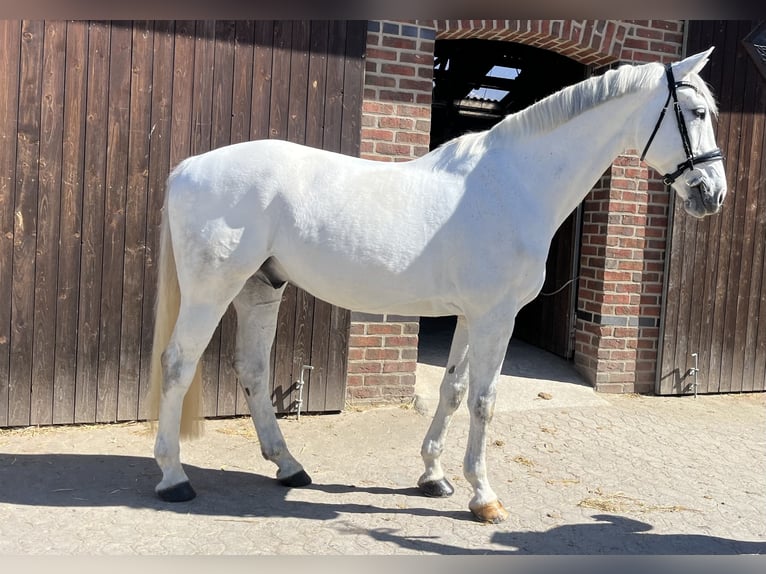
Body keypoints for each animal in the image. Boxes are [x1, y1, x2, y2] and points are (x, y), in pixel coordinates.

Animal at [150, 48, 727, 523]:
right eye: (696, 113)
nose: (712, 194)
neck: (513, 184)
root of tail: (188, 167)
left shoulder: (471, 316)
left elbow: (452, 391)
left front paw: (434, 477)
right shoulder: (496, 317)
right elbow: (484, 400)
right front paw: (484, 497)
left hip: (260, 288)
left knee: (251, 369)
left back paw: (289, 466)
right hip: (211, 291)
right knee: (177, 364)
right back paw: (174, 478)